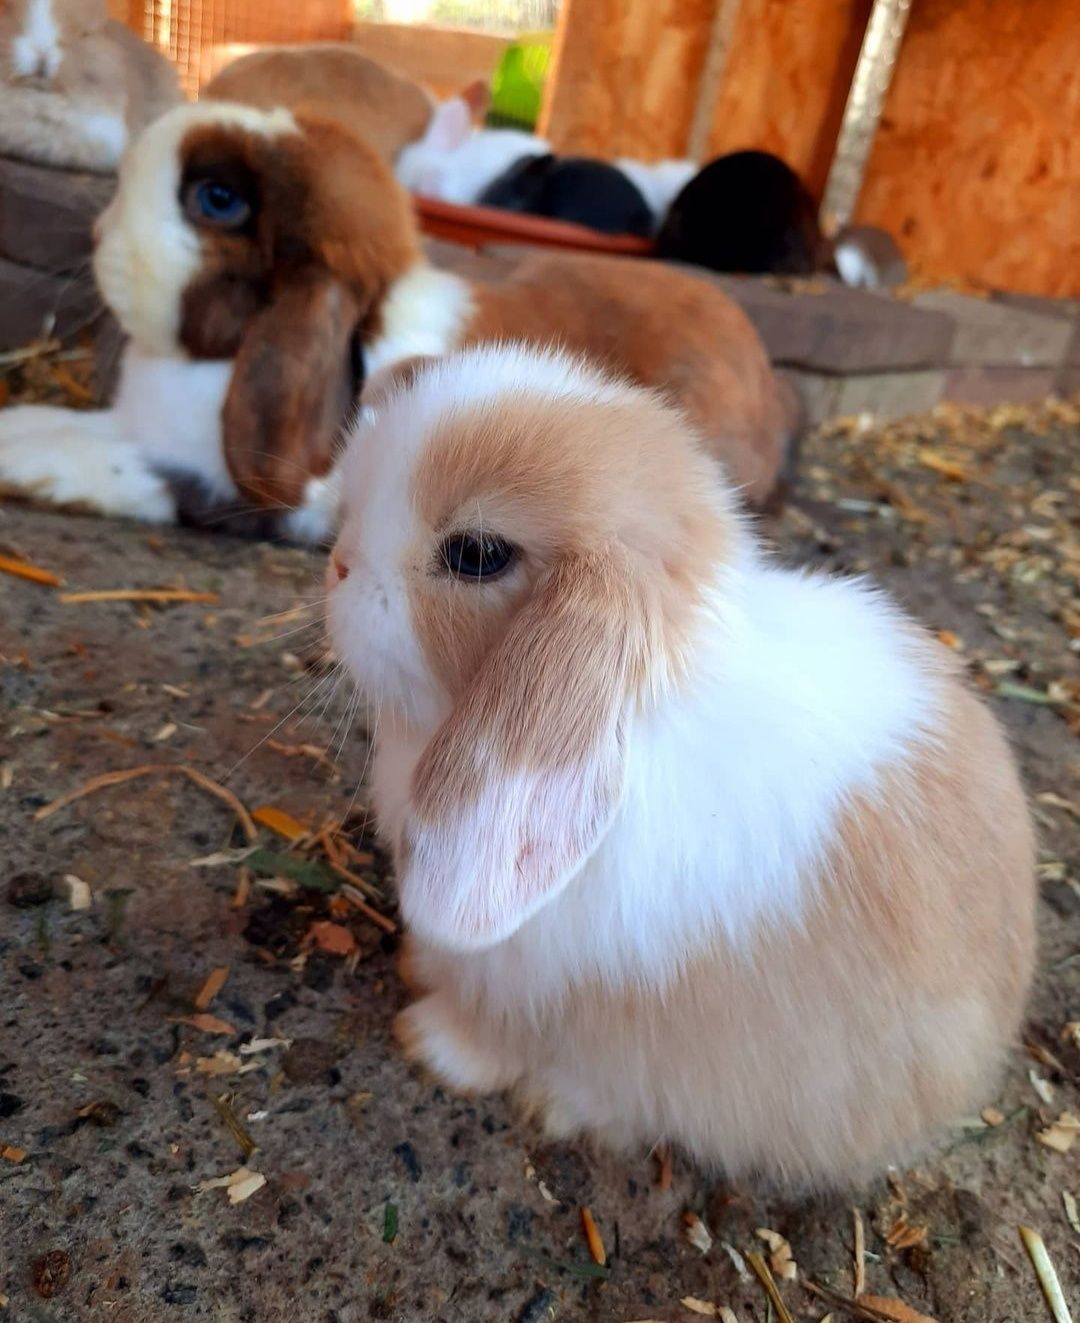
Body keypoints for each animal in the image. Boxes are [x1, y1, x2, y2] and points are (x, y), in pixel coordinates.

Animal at [0, 100, 794, 539]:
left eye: (217, 199)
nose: (98, 232)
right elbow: (66, 424)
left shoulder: (226, 490)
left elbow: (122, 469)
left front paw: (26, 471)